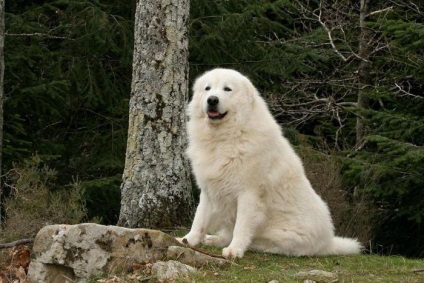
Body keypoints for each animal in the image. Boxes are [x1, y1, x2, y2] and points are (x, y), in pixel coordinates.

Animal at [177, 69, 362, 260]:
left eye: (227, 89)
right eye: (208, 88)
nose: (212, 100)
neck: (225, 138)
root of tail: (329, 242)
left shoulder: (248, 194)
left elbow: (241, 227)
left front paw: (235, 250)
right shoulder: (209, 190)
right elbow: (199, 219)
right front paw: (188, 240)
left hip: (283, 236)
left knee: (263, 242)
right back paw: (212, 239)